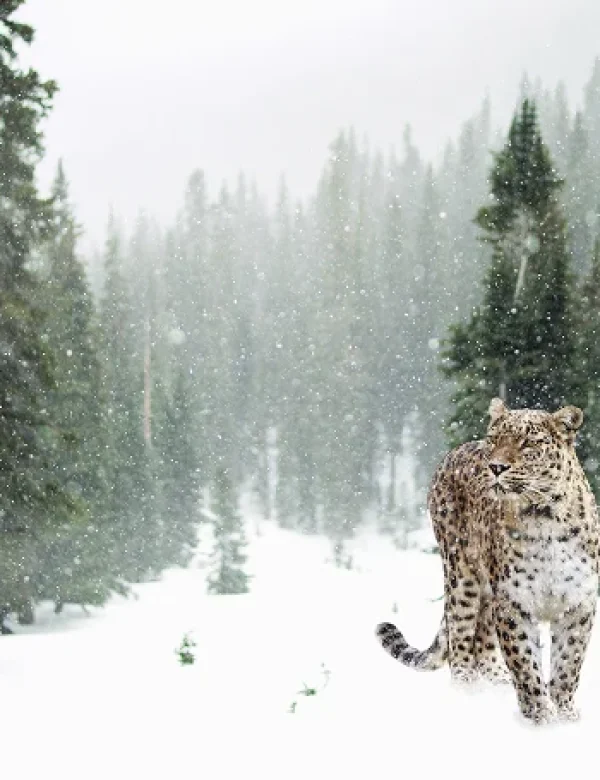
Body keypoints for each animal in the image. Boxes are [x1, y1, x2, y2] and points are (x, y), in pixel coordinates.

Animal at [375, 398, 600, 724]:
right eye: (495, 439)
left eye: (528, 443)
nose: (496, 467)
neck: (544, 518)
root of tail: (455, 451)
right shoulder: (513, 603)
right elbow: (525, 665)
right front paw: (540, 718)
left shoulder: (577, 603)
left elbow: (568, 664)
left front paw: (565, 715)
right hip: (461, 577)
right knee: (460, 639)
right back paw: (468, 694)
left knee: (482, 641)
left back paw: (496, 683)